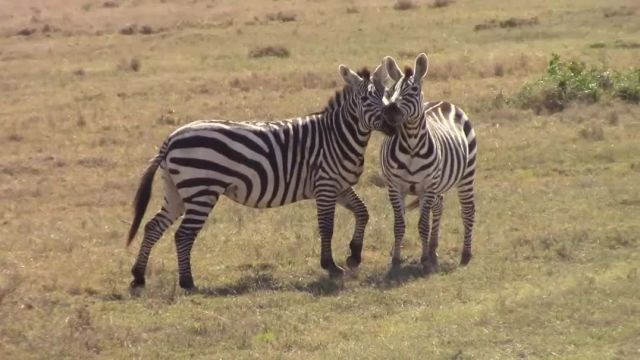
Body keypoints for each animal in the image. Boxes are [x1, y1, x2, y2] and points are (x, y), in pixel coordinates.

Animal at [124, 63, 390, 292]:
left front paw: (354, 254)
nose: (393, 120)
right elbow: (327, 226)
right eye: (365, 99)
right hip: (201, 191)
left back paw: (138, 277)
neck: (337, 135)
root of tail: (171, 138)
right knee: (183, 235)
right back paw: (187, 282)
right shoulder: (325, 185)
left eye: (385, 95)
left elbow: (363, 212)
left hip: (176, 192)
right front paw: (331, 266)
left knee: (153, 227)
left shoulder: (340, 187)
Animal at [378, 52, 478, 272]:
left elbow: (423, 224)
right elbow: (399, 223)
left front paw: (423, 260)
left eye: (414, 90)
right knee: (438, 207)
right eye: (391, 90)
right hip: (439, 183)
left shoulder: (428, 186)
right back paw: (433, 250)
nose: (389, 112)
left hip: (466, 175)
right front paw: (396, 259)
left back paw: (465, 255)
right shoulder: (395, 186)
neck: (411, 144)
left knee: (467, 210)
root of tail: (444, 102)